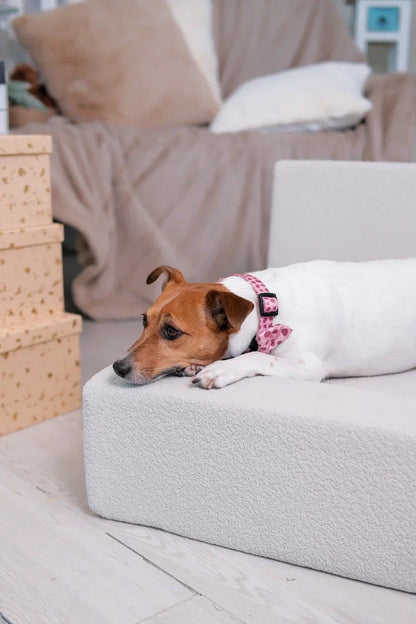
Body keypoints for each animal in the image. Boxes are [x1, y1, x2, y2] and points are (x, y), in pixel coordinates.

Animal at [113, 258, 416, 388]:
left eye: (171, 331)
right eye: (144, 320)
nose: (117, 367)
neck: (267, 308)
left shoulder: (308, 366)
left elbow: (258, 356)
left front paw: (219, 370)